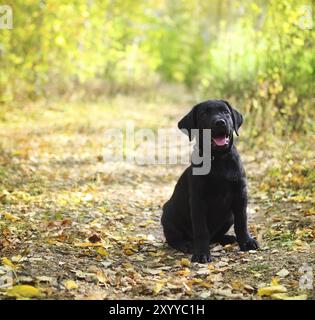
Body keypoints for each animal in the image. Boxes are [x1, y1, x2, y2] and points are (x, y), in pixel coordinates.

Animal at [163, 99, 260, 262]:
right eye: (203, 114)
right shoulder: (198, 200)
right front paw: (202, 253)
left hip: (229, 216)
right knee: (173, 238)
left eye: (226, 112)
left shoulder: (240, 194)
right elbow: (201, 230)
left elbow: (242, 222)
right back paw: (186, 244)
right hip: (168, 214)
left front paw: (247, 242)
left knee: (215, 236)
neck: (219, 159)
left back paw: (227, 238)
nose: (220, 122)